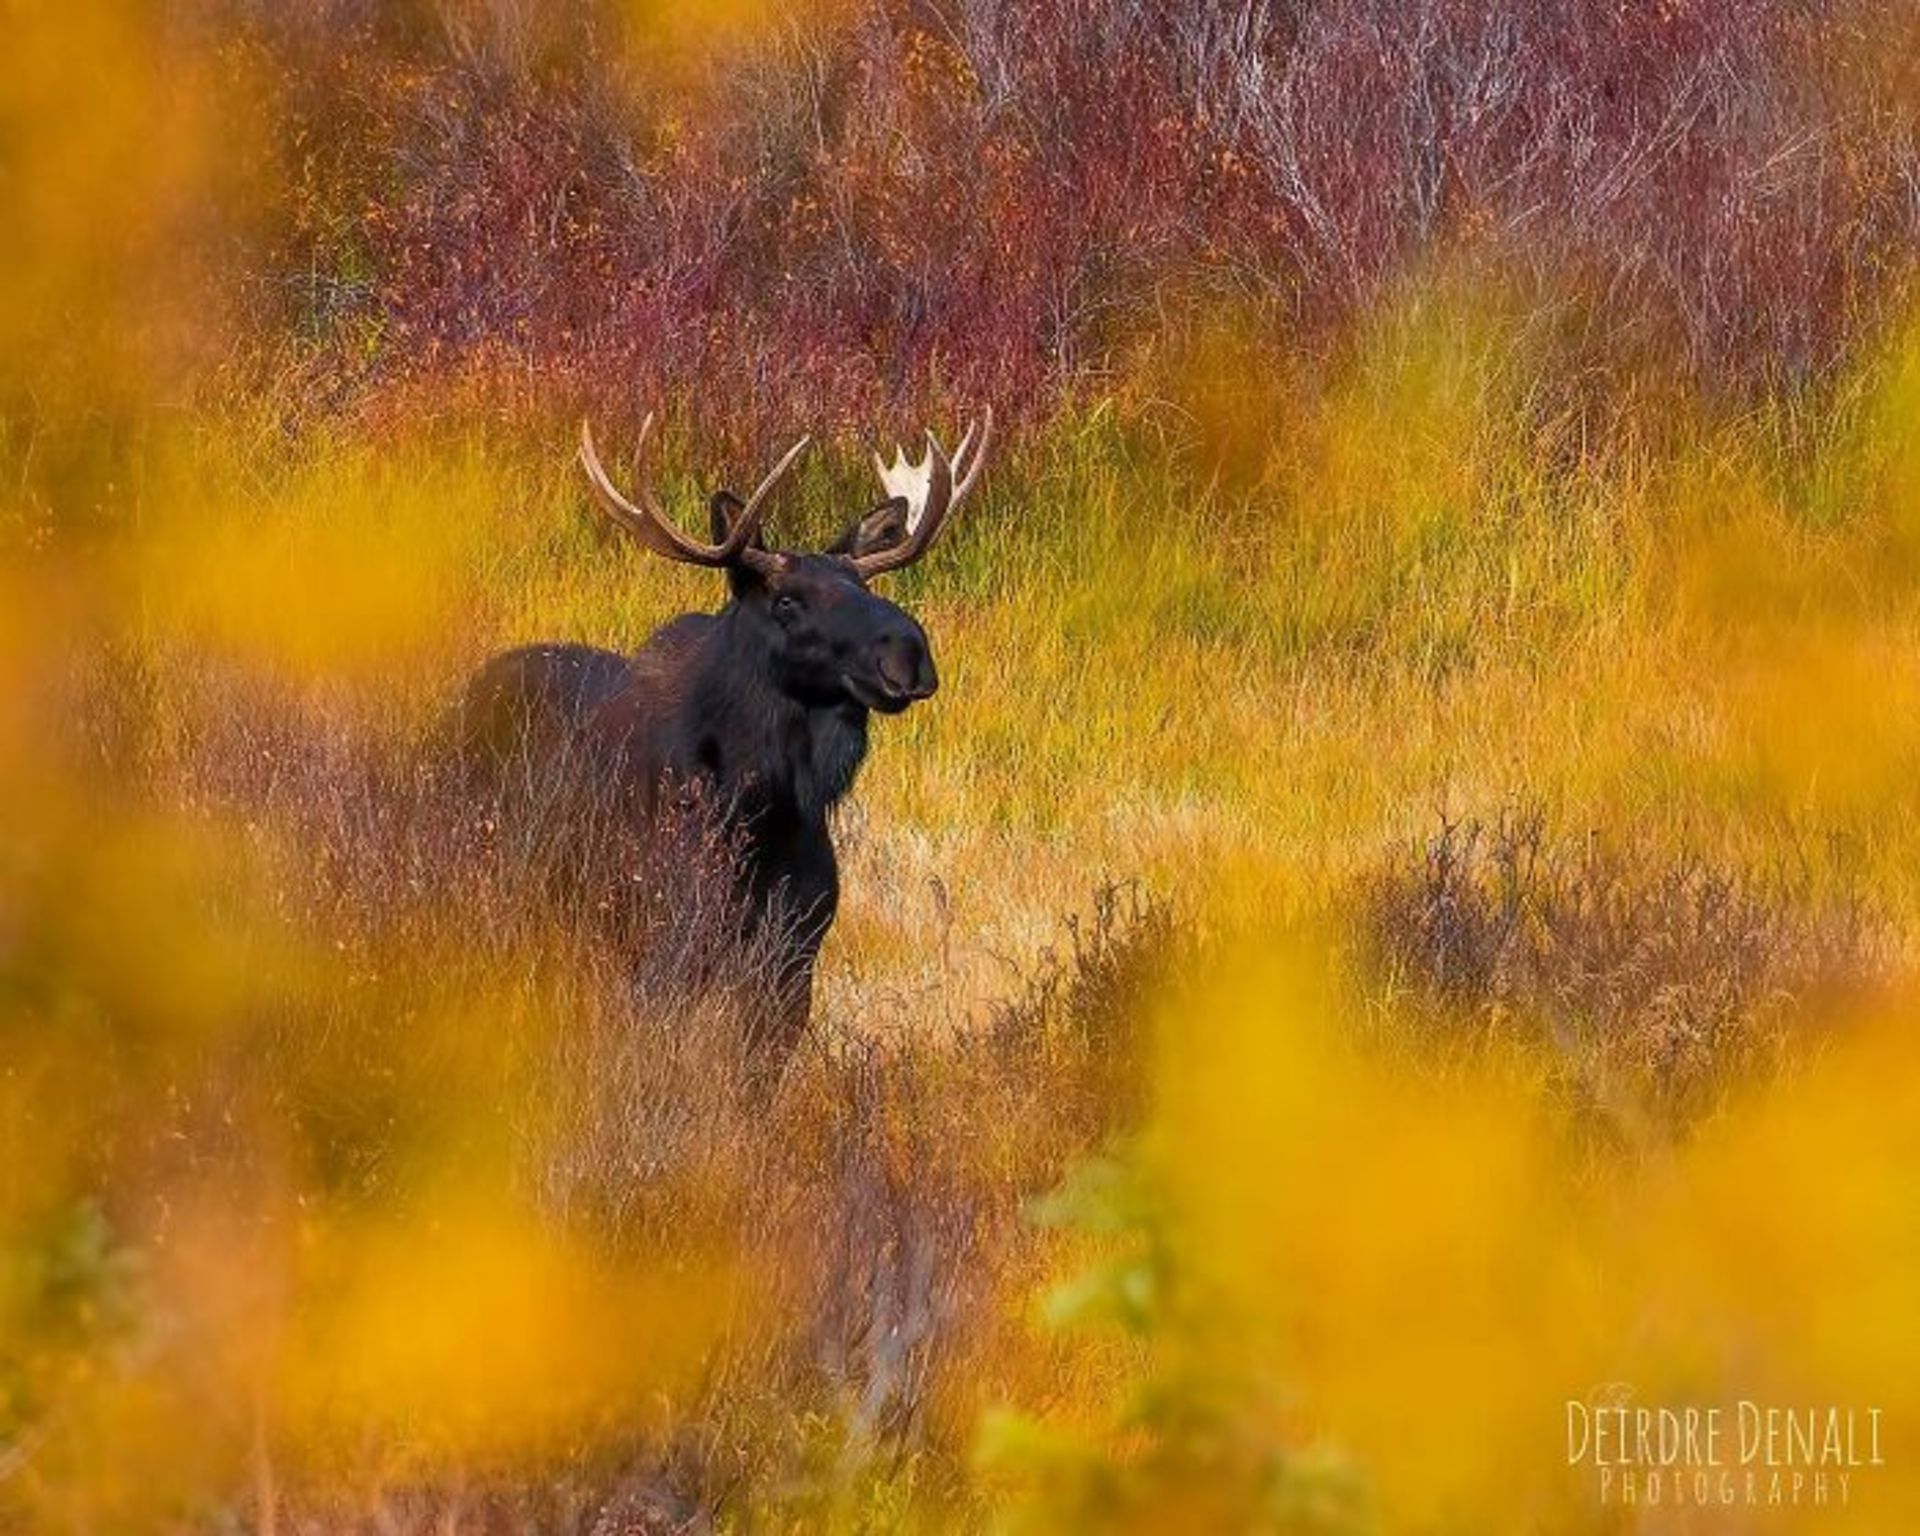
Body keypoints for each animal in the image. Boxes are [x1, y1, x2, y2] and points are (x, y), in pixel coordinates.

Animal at [460, 407, 990, 1059]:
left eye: (866, 589)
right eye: (786, 601)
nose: (908, 654)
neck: (765, 808)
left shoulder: (793, 961)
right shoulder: (668, 944)